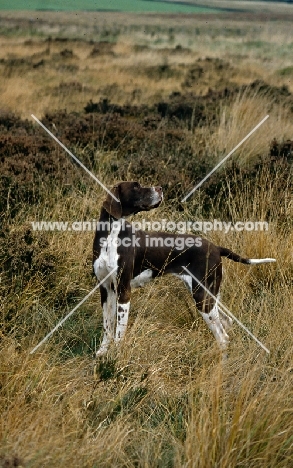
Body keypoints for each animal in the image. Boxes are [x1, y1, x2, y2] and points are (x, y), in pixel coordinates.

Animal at [93, 181, 274, 356]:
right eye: (136, 186)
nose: (160, 188)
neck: (111, 237)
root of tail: (216, 248)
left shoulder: (124, 290)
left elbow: (119, 332)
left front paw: (115, 356)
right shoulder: (106, 289)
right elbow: (107, 326)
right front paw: (102, 352)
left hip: (202, 296)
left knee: (223, 336)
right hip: (208, 294)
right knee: (226, 323)